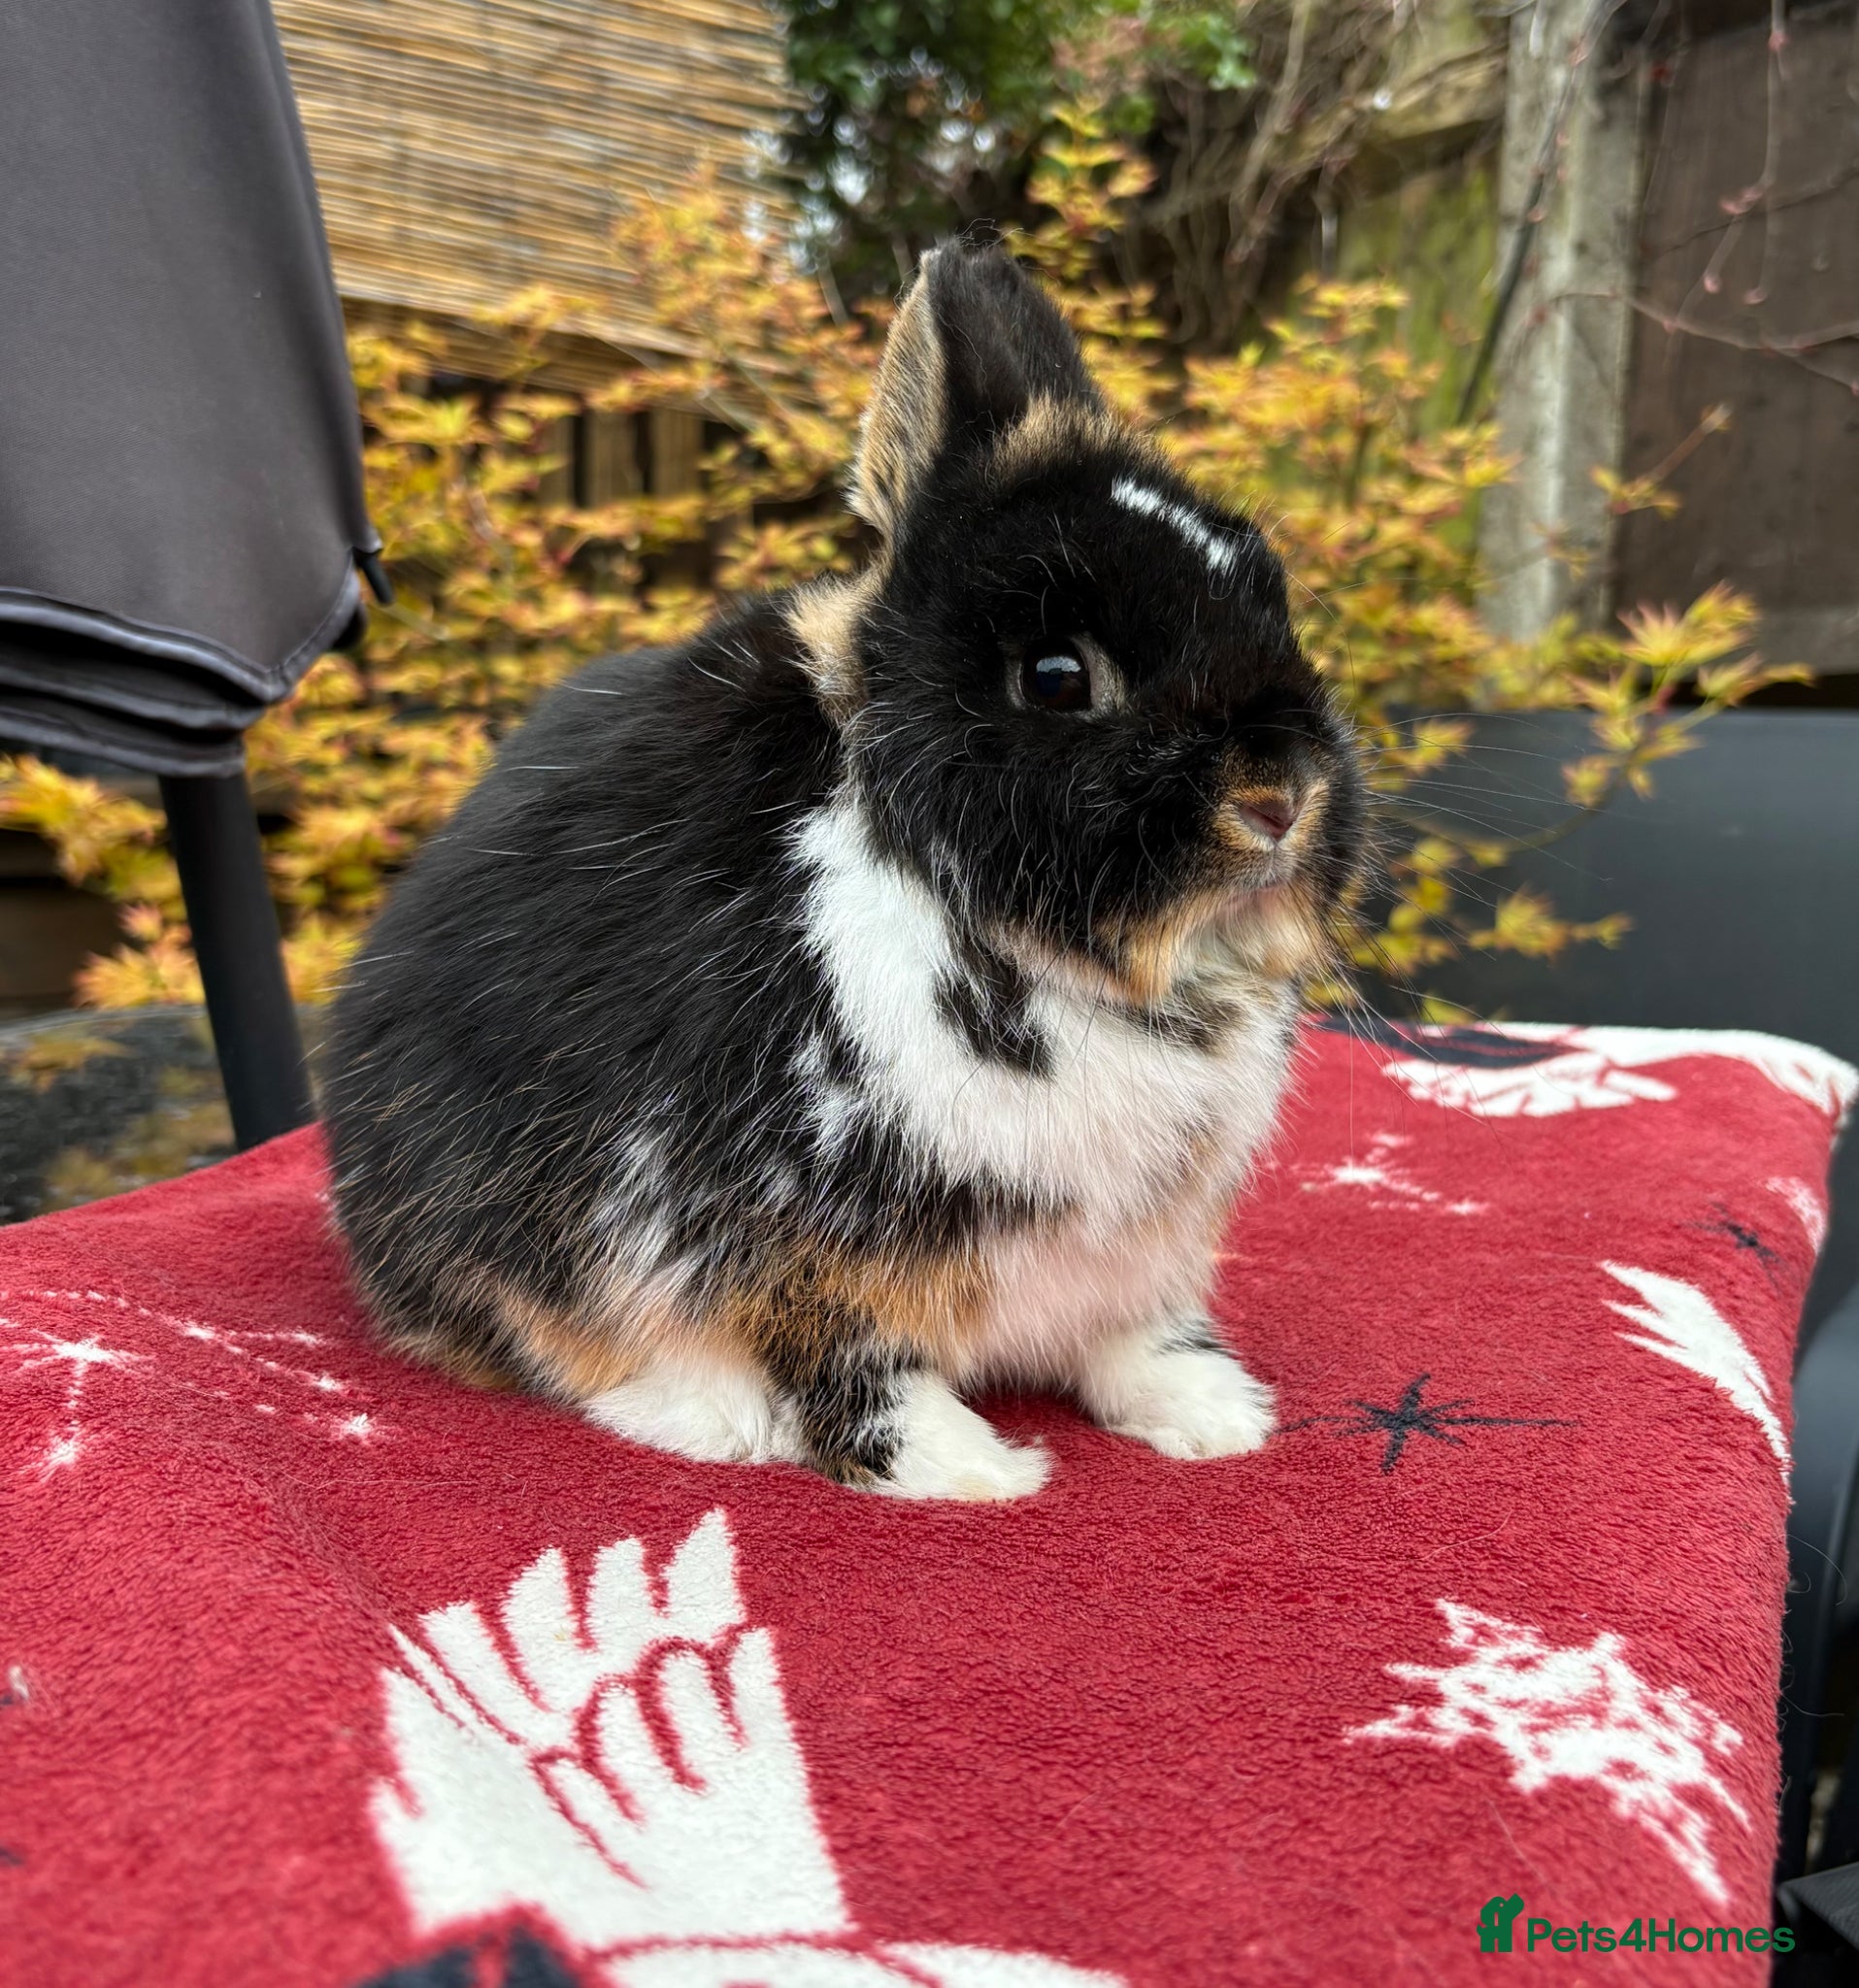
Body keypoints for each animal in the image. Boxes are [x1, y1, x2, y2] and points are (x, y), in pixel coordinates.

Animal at [324, 242, 1367, 1500]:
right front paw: (973, 1470)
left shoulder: (1137, 1251)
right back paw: (715, 1420)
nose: (1281, 796)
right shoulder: (784, 1232)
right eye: (1057, 675)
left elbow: (1135, 1338)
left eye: (1273, 599)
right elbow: (858, 1361)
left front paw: (1214, 1416)